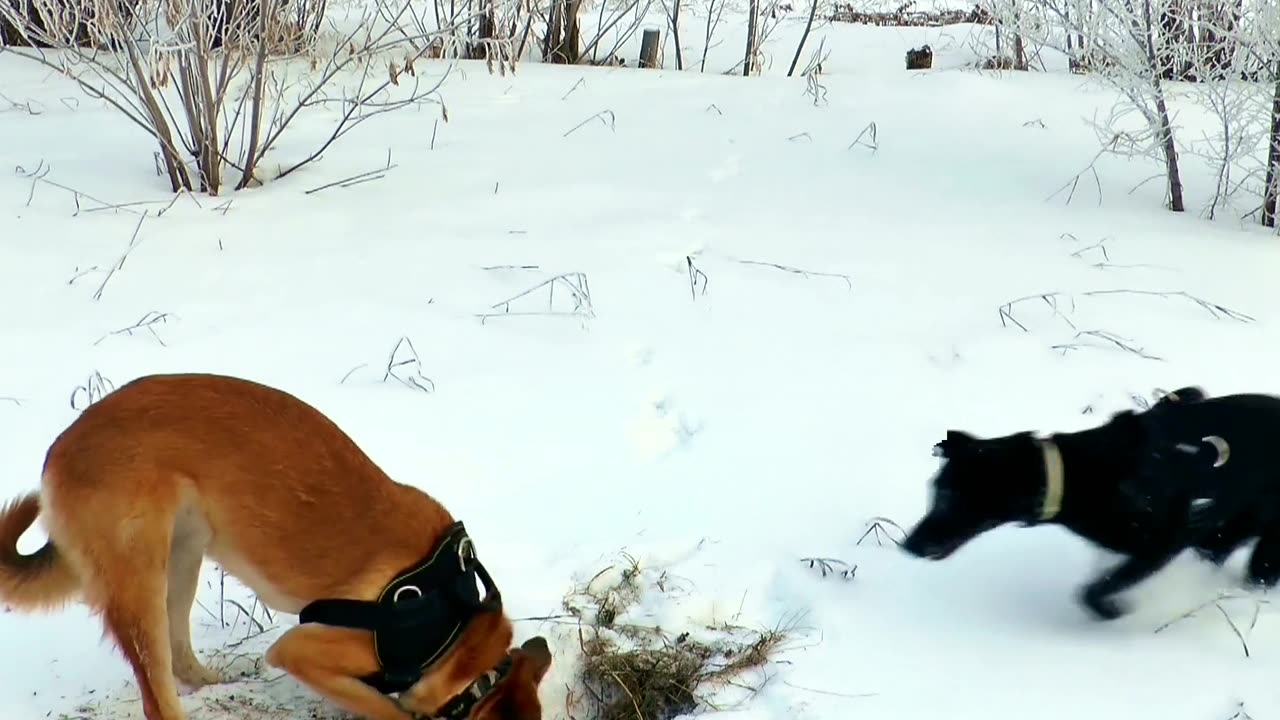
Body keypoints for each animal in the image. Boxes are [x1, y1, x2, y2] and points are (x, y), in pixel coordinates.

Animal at [0, 371, 547, 712]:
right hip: (141, 582)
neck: (454, 627)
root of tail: (62, 445)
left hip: (183, 554)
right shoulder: (302, 649)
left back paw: (212, 681)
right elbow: (385, 709)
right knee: (158, 695)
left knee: (178, 656)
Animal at [901, 386, 1280, 617]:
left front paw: (1113, 611)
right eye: (934, 491)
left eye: (950, 498)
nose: (907, 546)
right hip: (1225, 533)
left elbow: (1092, 591)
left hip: (1256, 542)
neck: (1076, 473)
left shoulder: (1163, 544)